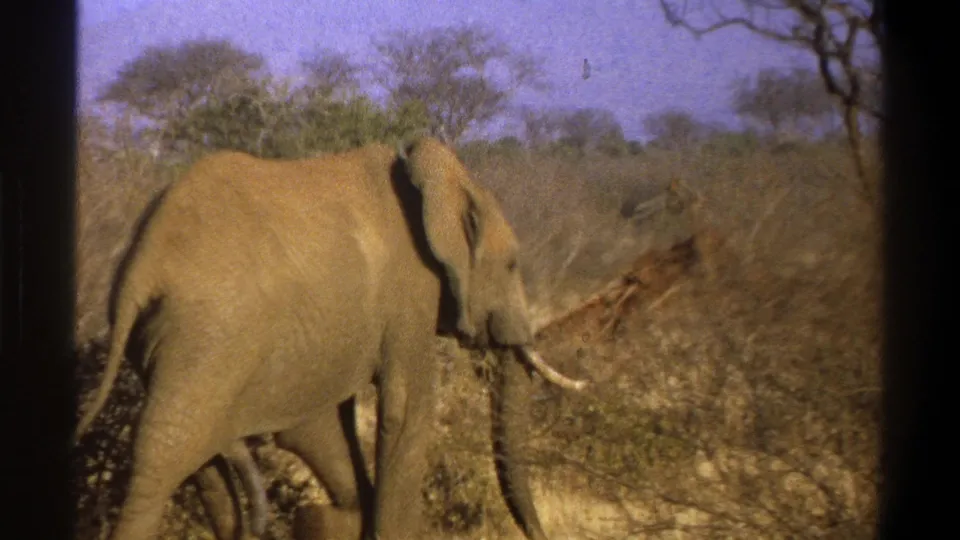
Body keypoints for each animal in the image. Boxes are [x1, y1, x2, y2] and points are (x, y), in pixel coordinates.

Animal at [73, 136, 588, 540]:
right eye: (513, 265)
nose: (542, 534)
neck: (441, 179)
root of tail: (142, 266)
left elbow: (320, 426)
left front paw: (333, 520)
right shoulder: (411, 292)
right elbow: (407, 409)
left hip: (172, 339)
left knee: (201, 464)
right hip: (209, 335)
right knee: (162, 457)